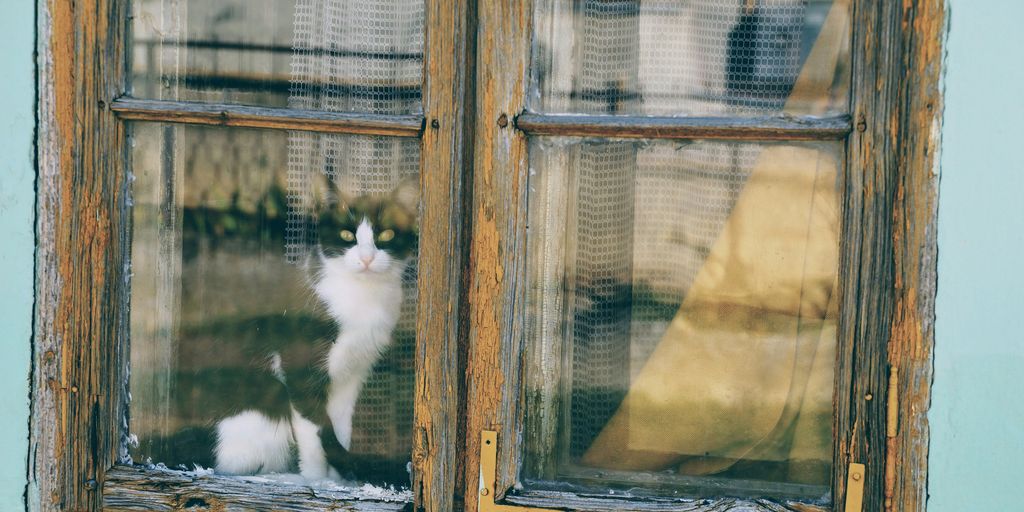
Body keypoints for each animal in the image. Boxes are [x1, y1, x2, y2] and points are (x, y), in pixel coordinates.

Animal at [144, 178, 415, 485]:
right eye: (347, 235)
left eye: (388, 234)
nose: (367, 259)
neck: (363, 297)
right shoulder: (300, 372)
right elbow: (314, 431)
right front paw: (318, 481)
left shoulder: (351, 375)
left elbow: (340, 428)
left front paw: (337, 477)